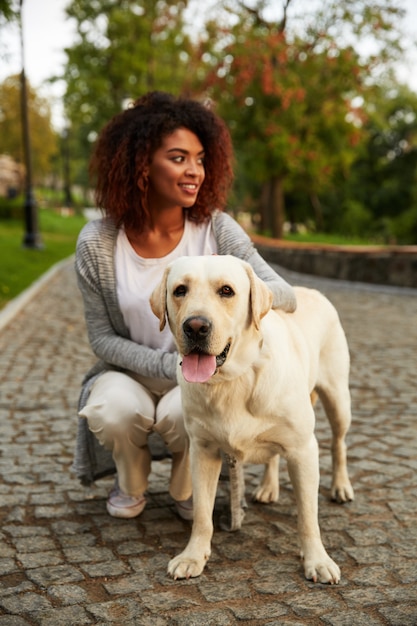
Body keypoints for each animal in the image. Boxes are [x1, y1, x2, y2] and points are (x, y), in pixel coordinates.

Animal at [150, 252, 352, 580]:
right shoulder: (202, 451)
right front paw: (193, 556)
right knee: (273, 455)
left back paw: (341, 485)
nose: (196, 327)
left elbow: (308, 516)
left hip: (338, 399)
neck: (233, 379)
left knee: (339, 442)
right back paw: (268, 487)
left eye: (226, 291)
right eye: (180, 290)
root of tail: (312, 291)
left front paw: (317, 560)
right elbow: (202, 514)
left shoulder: (303, 450)